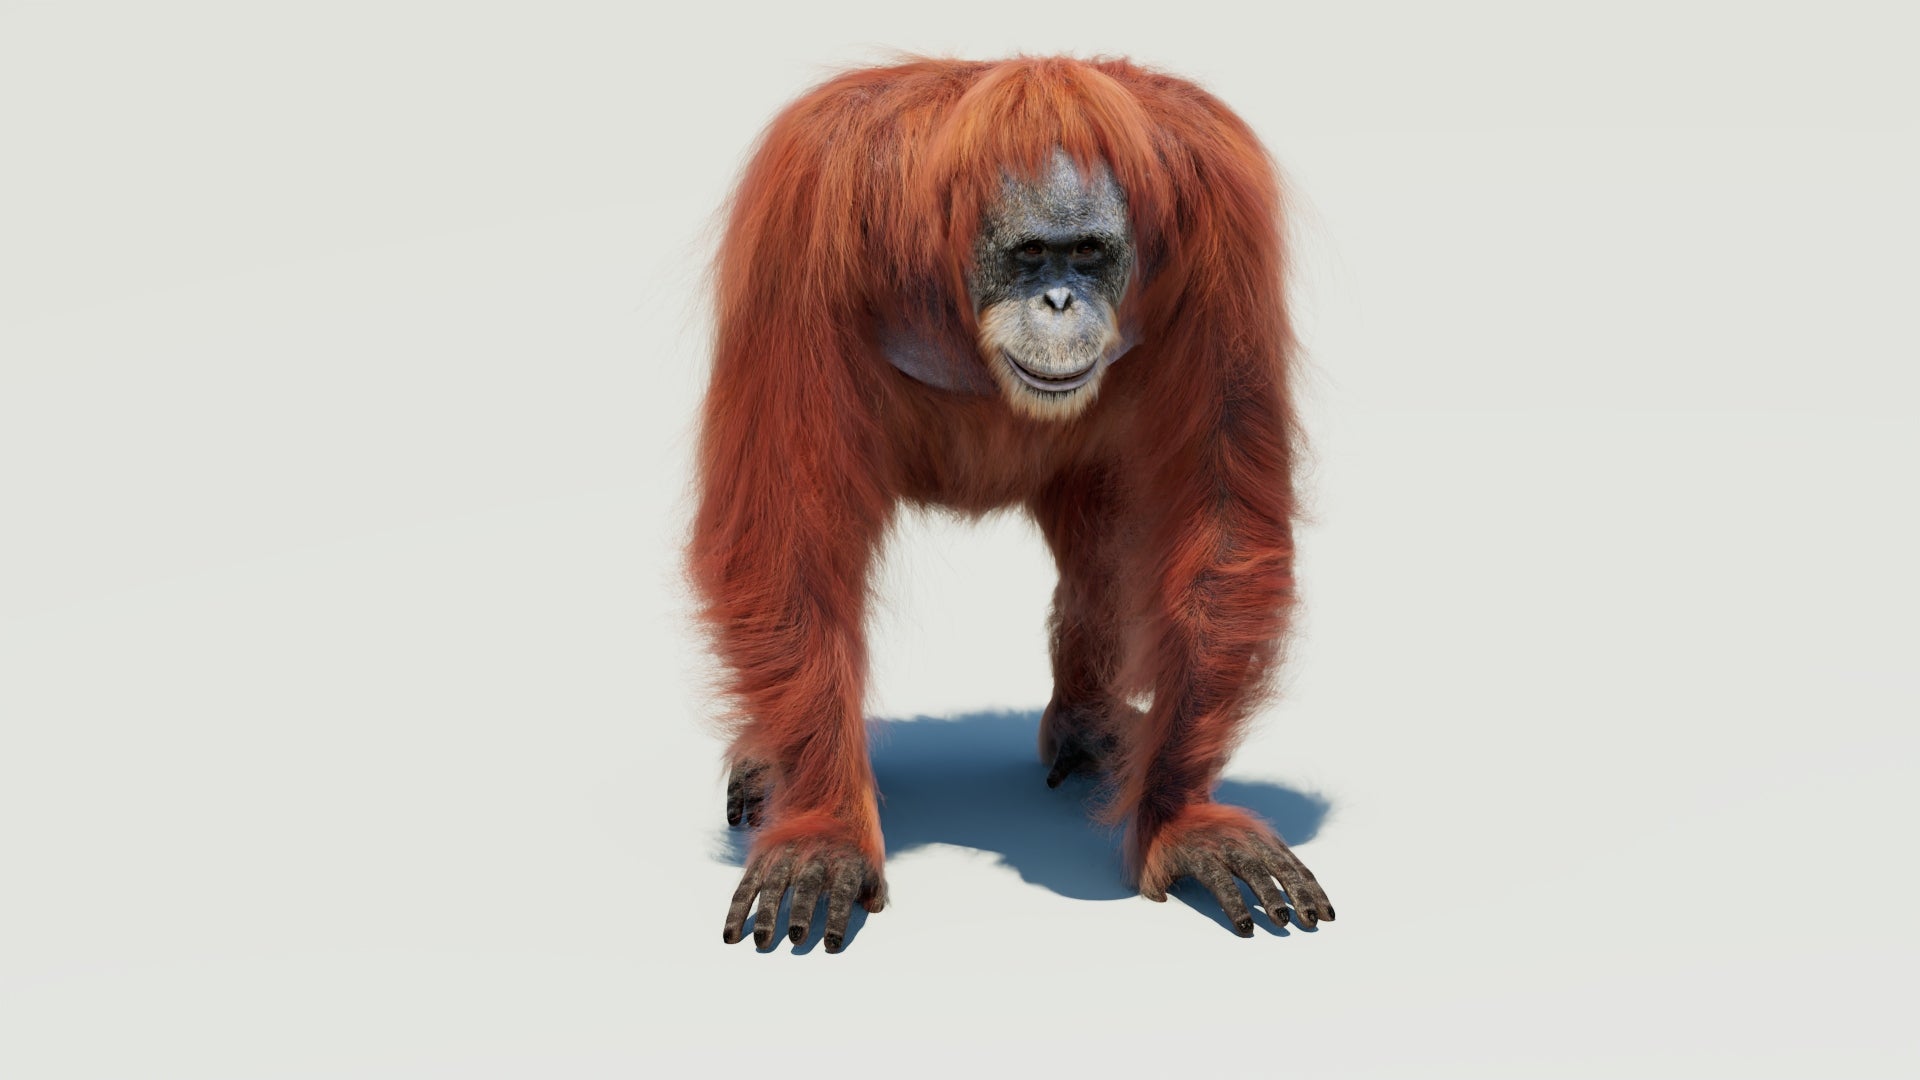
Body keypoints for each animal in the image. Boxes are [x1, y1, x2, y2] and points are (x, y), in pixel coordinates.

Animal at [691, 56, 1333, 952]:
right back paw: (768, 768)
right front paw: (822, 834)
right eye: (1031, 256)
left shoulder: (1224, 213)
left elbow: (1221, 521)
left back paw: (1090, 729)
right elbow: (784, 534)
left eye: (1088, 254)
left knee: (1108, 538)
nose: (1060, 303)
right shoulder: (806, 209)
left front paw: (1180, 821)